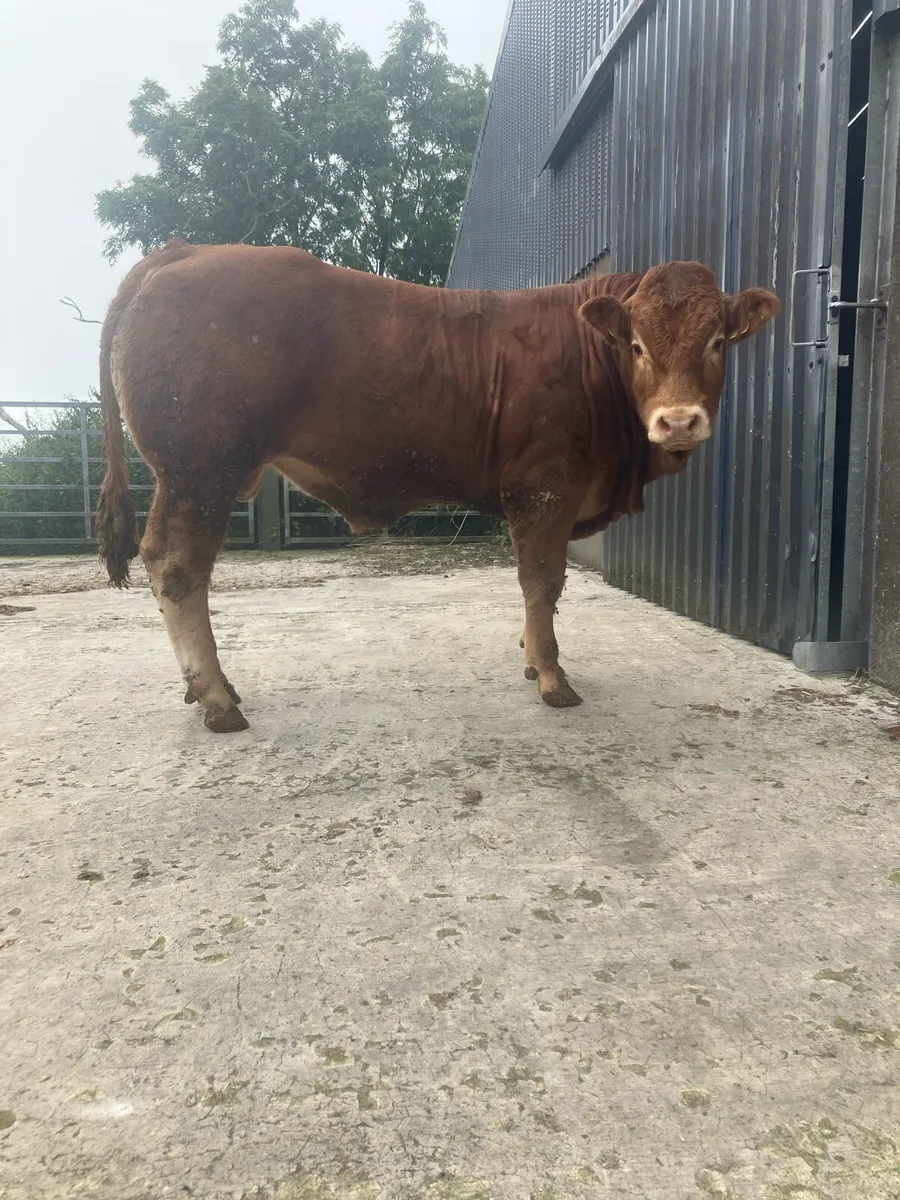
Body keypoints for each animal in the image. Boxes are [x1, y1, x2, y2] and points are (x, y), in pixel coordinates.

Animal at [96, 241, 779, 732]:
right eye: (636, 345)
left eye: (719, 341)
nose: (678, 421)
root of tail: (185, 249)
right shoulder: (543, 489)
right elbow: (542, 581)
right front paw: (552, 677)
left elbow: (543, 587)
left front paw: (532, 660)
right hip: (199, 473)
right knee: (177, 568)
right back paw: (217, 699)